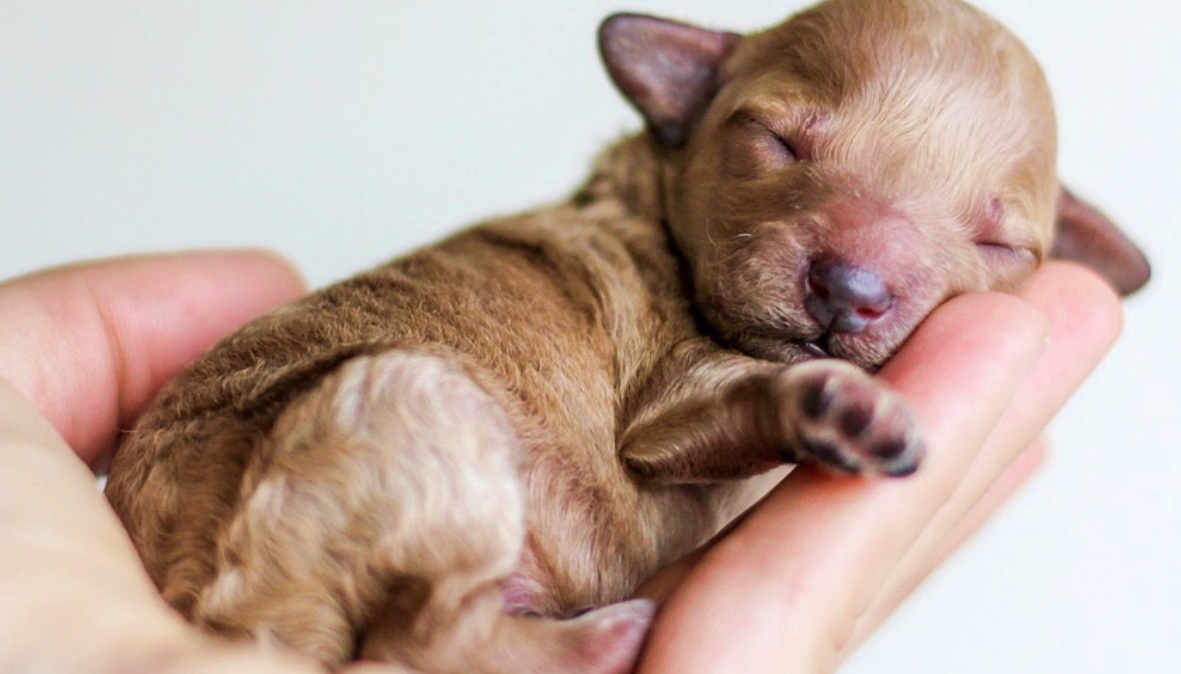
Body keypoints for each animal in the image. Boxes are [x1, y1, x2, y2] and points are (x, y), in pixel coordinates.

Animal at [105, 1, 1151, 672]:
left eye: (999, 242)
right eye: (777, 141)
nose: (848, 289)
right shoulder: (667, 395)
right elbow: (731, 398)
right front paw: (833, 408)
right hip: (413, 405)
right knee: (417, 639)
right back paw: (601, 641)